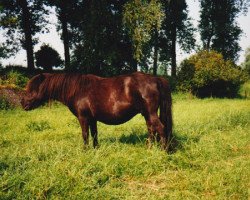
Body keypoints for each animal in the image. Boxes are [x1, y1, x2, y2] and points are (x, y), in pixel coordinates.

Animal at [21, 72, 173, 150]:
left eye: (33, 88)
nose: (22, 103)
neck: (78, 90)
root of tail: (155, 78)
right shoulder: (92, 119)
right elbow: (94, 134)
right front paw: (95, 149)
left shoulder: (83, 118)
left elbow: (85, 134)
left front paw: (85, 150)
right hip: (146, 114)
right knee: (151, 130)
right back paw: (149, 148)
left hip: (150, 113)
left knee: (160, 128)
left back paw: (163, 151)